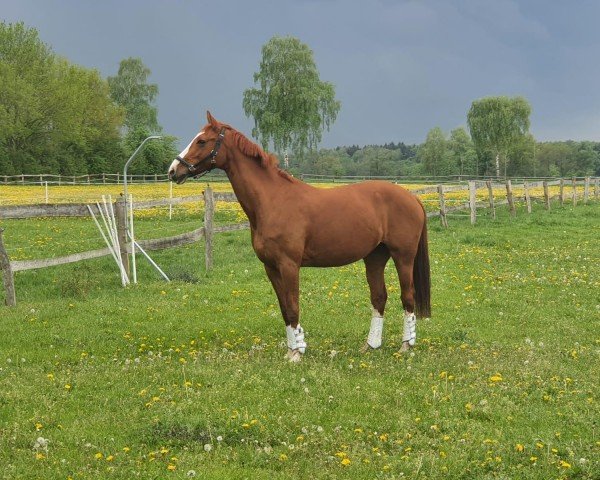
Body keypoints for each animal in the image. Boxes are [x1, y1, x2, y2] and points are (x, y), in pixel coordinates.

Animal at [170, 111, 432, 360]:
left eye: (202, 141)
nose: (173, 170)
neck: (273, 200)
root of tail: (412, 198)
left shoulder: (289, 265)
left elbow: (294, 306)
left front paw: (298, 352)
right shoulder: (271, 267)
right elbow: (285, 309)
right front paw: (290, 350)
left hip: (403, 257)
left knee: (407, 297)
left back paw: (406, 345)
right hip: (375, 257)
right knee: (379, 298)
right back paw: (370, 346)